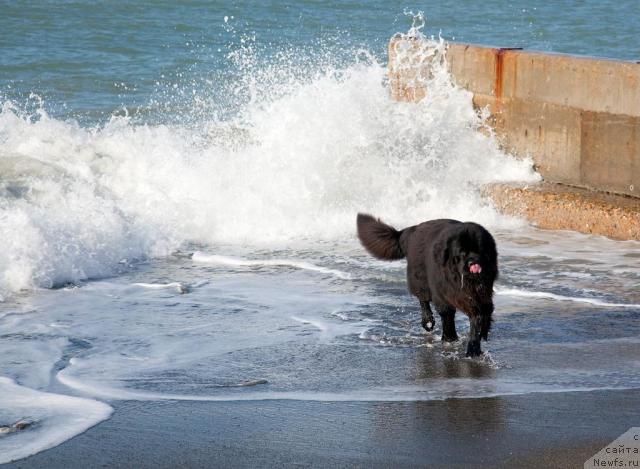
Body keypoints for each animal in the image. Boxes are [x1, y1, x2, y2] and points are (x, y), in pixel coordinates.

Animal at [356, 214, 500, 356]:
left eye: (480, 250)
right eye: (462, 253)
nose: (473, 262)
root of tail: (412, 229)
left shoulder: (480, 296)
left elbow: (479, 318)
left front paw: (475, 343)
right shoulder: (443, 294)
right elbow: (447, 315)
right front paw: (450, 338)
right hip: (420, 279)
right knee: (423, 299)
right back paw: (428, 320)